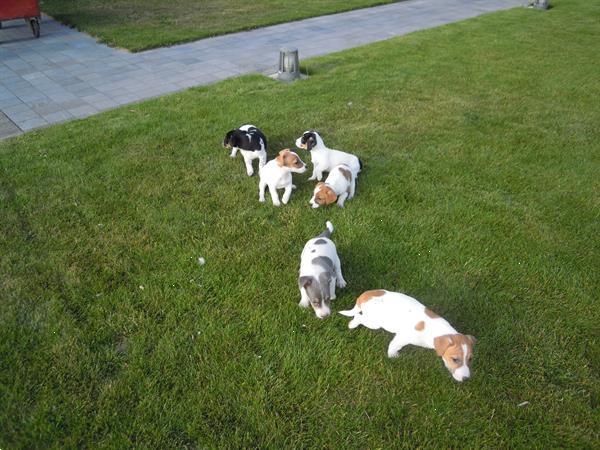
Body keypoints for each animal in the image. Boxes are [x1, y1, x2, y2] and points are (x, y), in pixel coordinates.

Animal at [340, 290, 476, 382]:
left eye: (470, 359)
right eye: (455, 359)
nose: (466, 379)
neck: (439, 331)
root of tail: (364, 296)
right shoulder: (402, 338)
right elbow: (393, 347)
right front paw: (393, 356)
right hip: (375, 323)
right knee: (358, 317)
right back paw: (352, 324)